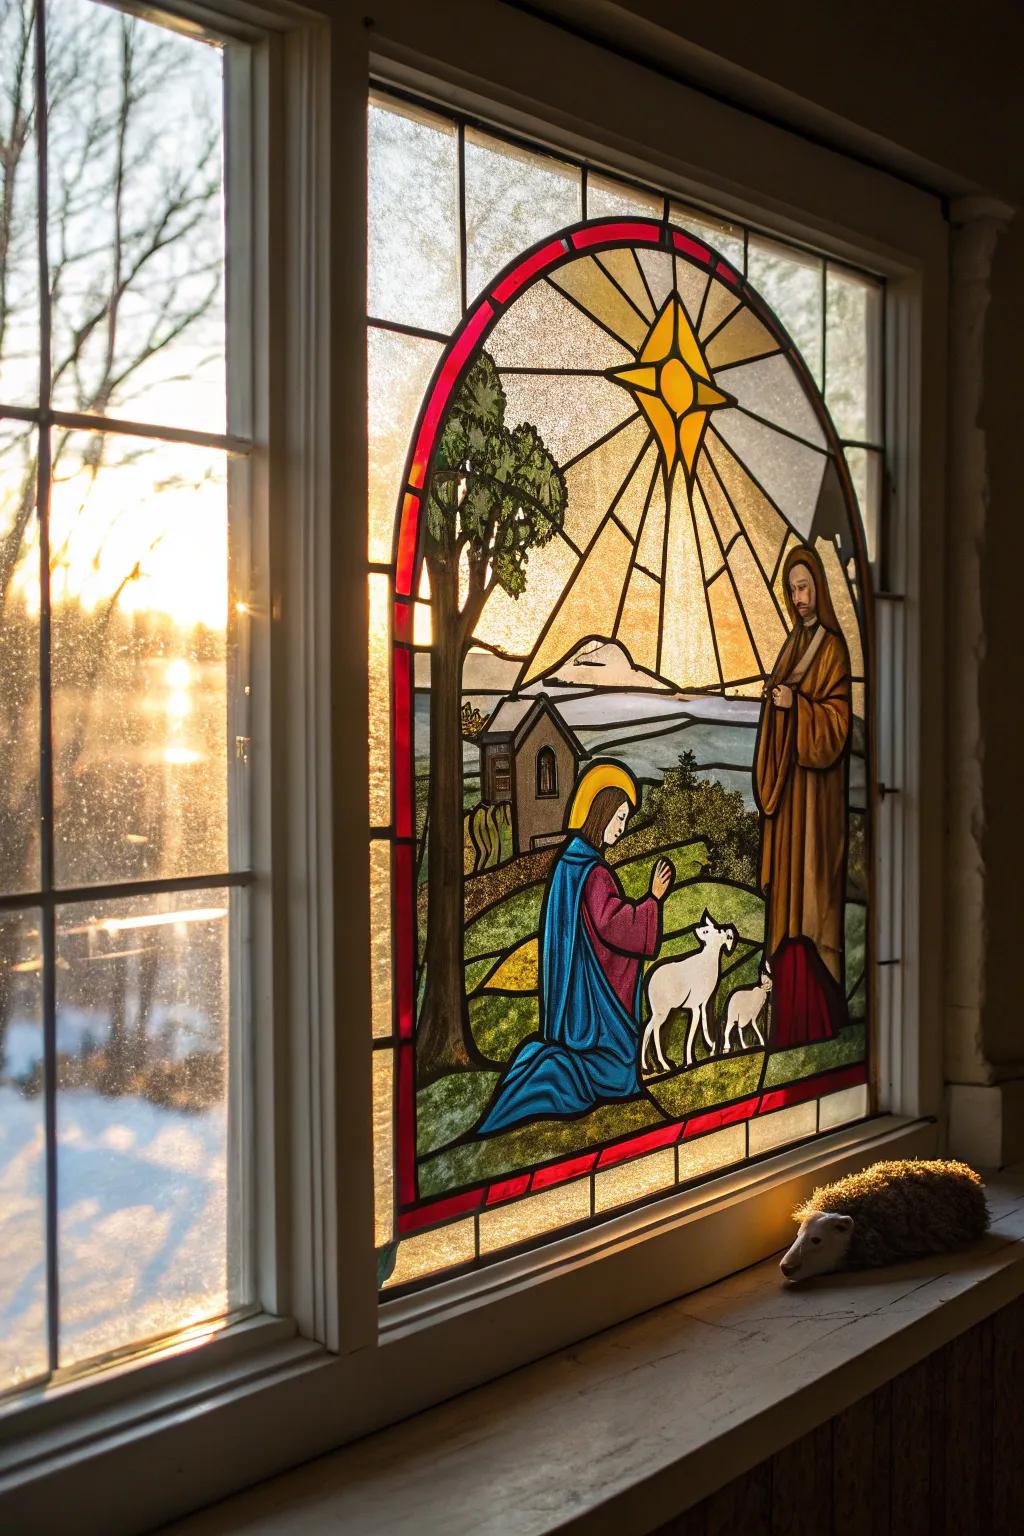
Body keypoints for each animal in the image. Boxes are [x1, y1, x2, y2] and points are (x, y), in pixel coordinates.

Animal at [641, 903, 736, 1075]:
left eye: (712, 930)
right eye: (707, 930)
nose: (697, 928)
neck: (707, 962)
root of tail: (650, 981)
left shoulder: (704, 1003)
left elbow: (705, 1026)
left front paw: (712, 1048)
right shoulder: (694, 1006)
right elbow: (691, 1036)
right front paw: (690, 1062)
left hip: (658, 1011)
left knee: (649, 1029)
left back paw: (649, 1067)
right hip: (663, 1010)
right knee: (655, 1030)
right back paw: (664, 1066)